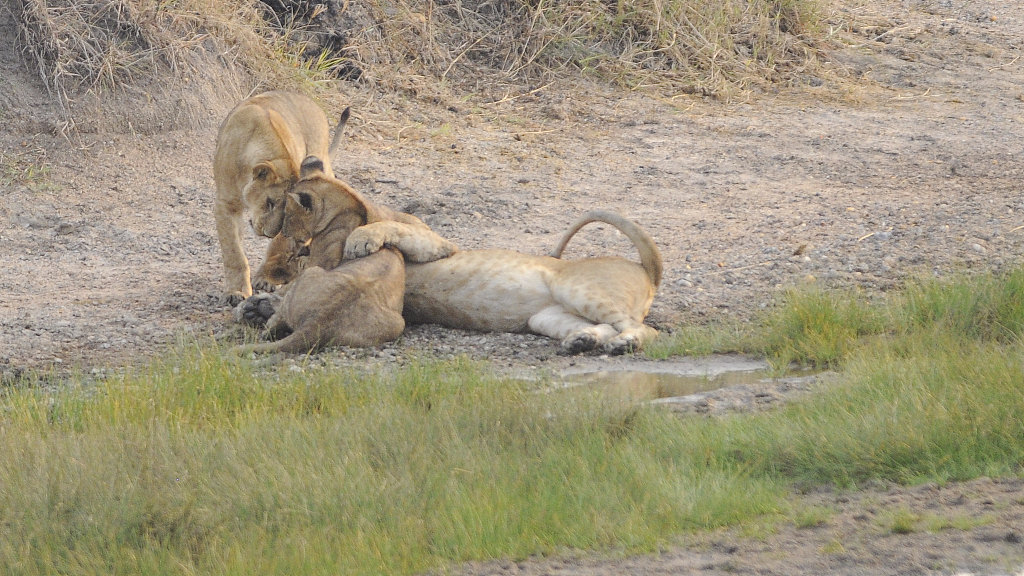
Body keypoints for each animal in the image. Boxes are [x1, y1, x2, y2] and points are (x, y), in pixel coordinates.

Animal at [213, 90, 349, 305]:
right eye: (269, 202)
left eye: (284, 209)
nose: (267, 234)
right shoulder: (226, 203)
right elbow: (234, 252)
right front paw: (236, 292)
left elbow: (280, 244)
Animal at [262, 156, 662, 354]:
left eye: (289, 238)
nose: (267, 275)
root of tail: (648, 270)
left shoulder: (437, 241)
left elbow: (393, 230)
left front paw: (361, 240)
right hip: (547, 317)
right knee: (603, 326)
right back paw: (584, 342)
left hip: (576, 289)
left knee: (645, 329)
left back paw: (622, 345)